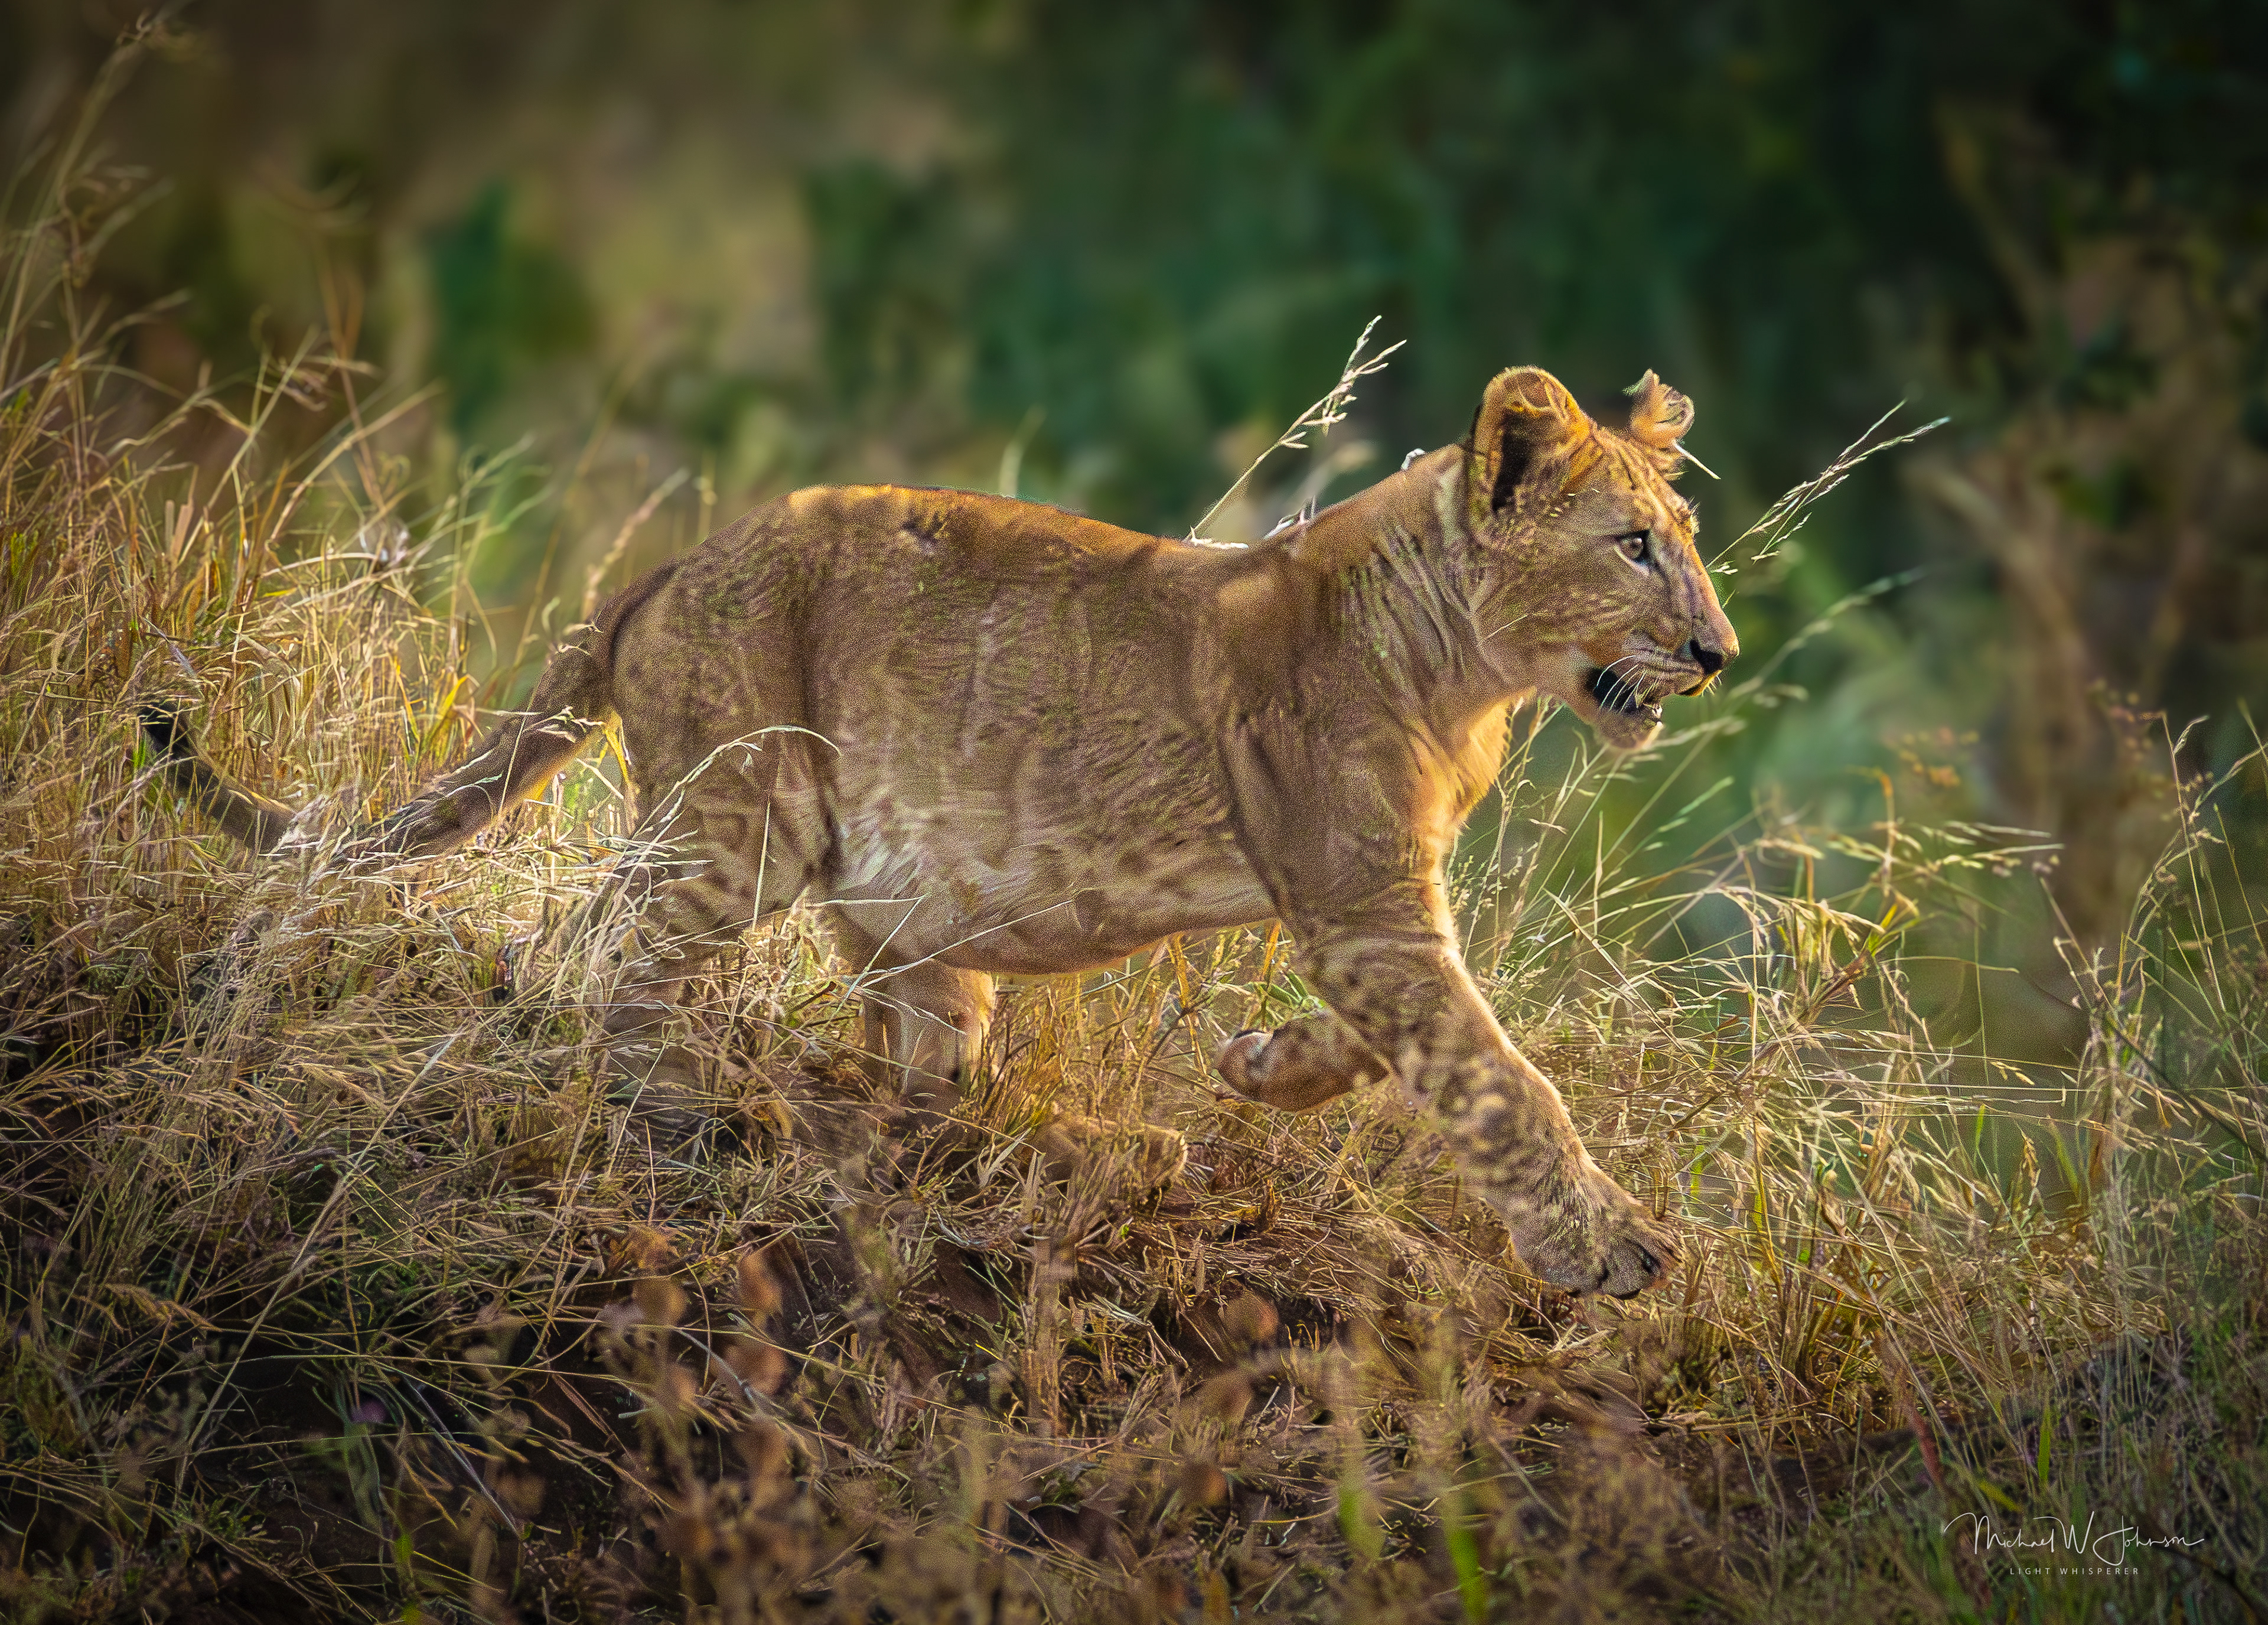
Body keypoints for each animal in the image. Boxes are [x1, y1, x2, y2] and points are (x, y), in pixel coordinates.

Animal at [146, 364, 1734, 1297]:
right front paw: (1610, 1248)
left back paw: (1002, 1148)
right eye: (1632, 548)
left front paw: (1260, 1064)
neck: (1471, 671)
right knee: (600, 951)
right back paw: (672, 1109)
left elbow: (1394, 1047)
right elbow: (1498, 1077)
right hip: (742, 812)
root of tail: (665, 563)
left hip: (893, 900)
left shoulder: (1374, 914)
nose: (1716, 653)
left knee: (917, 1064)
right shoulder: (1363, 907)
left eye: (1689, 544)